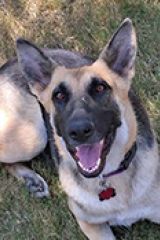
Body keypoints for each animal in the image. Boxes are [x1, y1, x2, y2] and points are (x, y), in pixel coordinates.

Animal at [2, 18, 160, 238]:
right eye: (59, 96)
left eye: (100, 88)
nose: (78, 131)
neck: (109, 176)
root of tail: (7, 64)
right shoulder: (91, 224)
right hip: (32, 136)